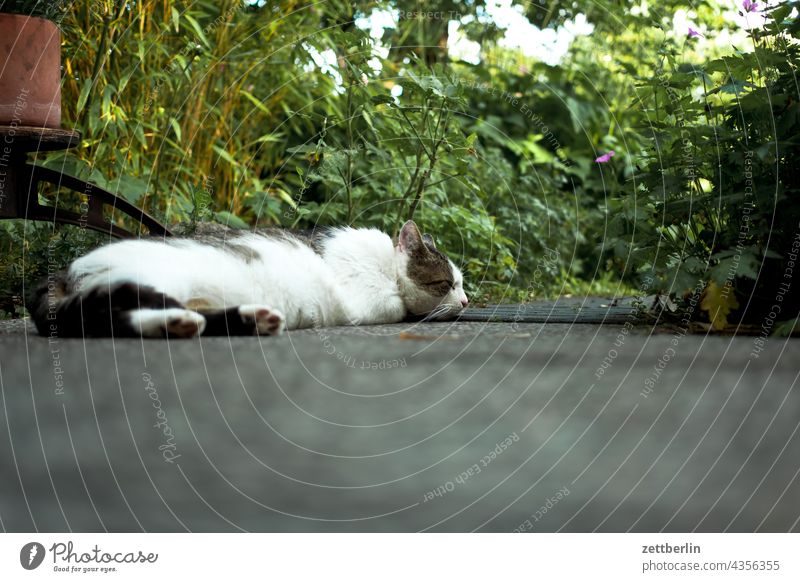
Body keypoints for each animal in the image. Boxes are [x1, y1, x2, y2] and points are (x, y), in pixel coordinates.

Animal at [31, 221, 468, 340]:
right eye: (448, 284)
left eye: (462, 286)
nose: (466, 302)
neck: (386, 266)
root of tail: (62, 272)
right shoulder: (366, 300)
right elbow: (395, 306)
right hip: (154, 279)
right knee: (106, 314)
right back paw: (173, 322)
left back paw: (251, 318)